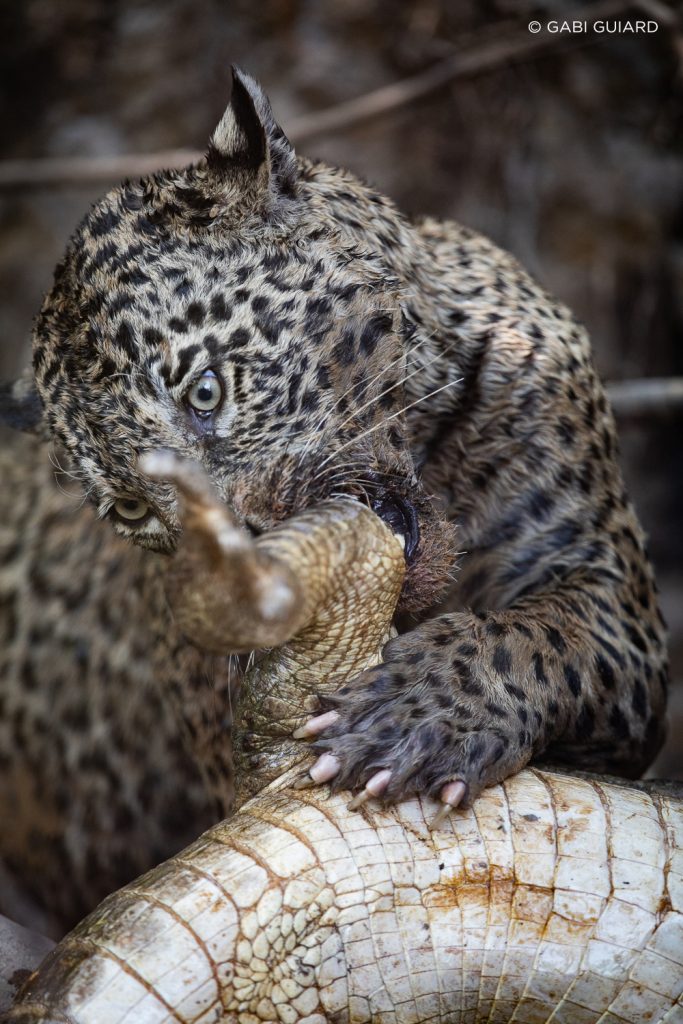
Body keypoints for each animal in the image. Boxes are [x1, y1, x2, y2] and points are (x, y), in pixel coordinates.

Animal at [0, 68, 668, 933]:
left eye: (205, 391)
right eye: (131, 511)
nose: (240, 567)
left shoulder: (604, 583)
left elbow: (539, 635)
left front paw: (416, 713)